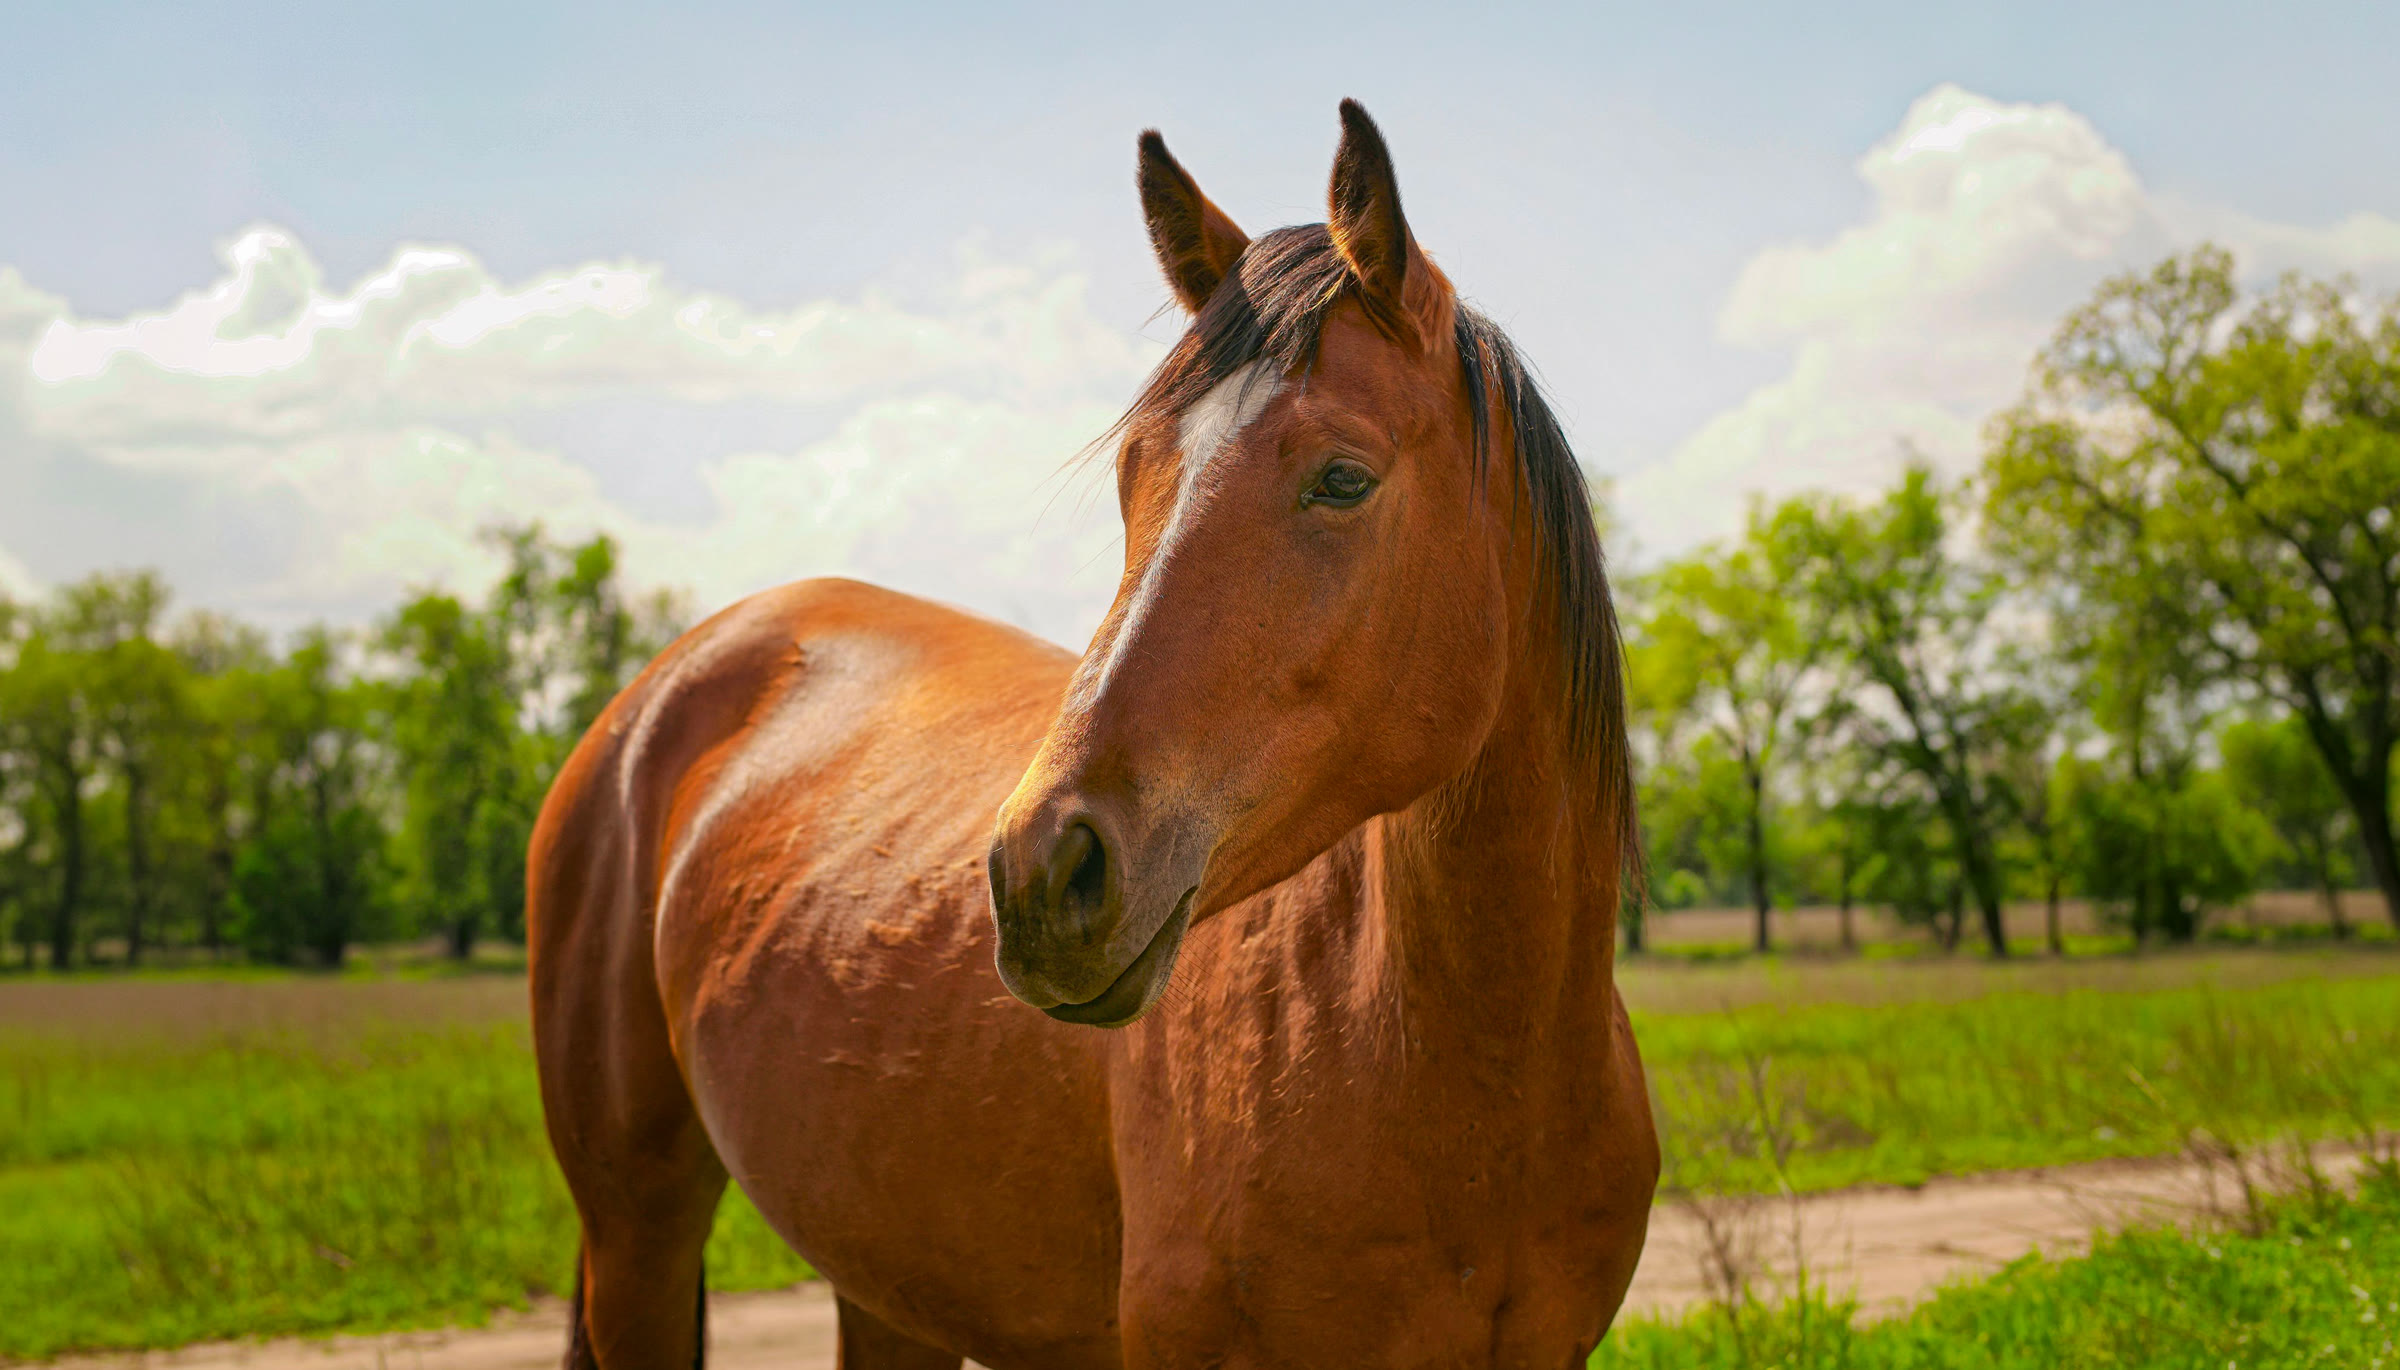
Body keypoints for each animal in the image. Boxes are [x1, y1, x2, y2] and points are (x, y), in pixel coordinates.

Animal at [528, 100, 1656, 1370]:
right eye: (1133, 474)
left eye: (1343, 477)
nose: (1039, 875)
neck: (1478, 1076)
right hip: (637, 1229)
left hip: (883, 1275)